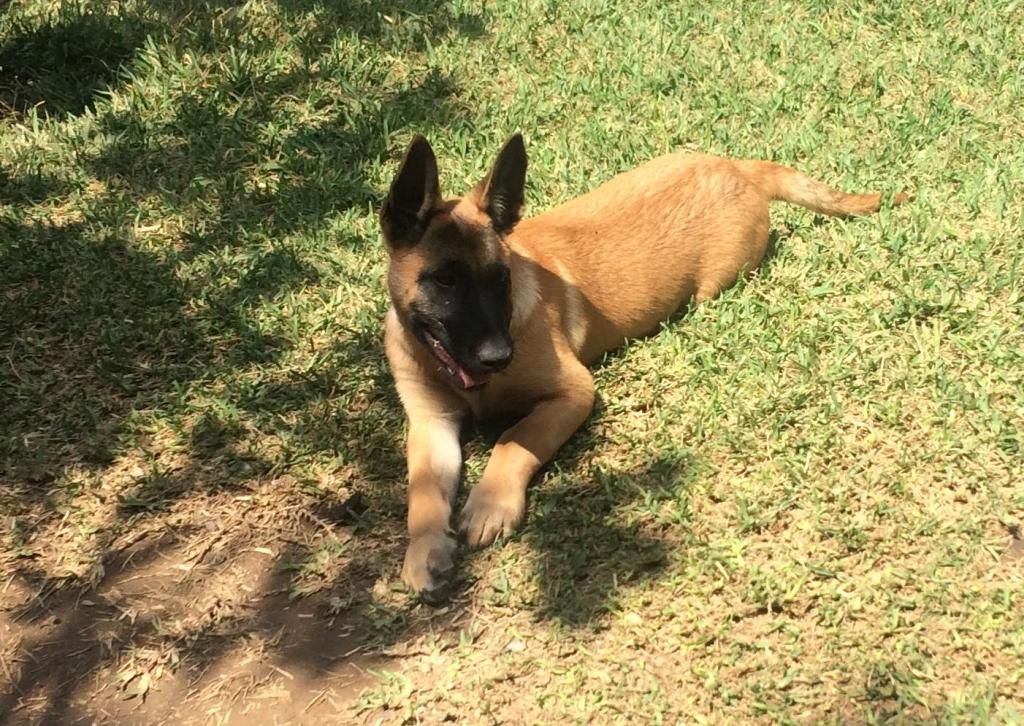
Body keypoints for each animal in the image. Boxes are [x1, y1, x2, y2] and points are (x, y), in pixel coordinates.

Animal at [380, 133, 909, 598]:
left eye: (500, 279)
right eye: (445, 280)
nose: (498, 356)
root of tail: (737, 168)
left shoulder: (574, 392)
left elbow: (514, 440)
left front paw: (490, 504)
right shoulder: (431, 422)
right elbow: (423, 493)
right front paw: (424, 553)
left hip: (713, 286)